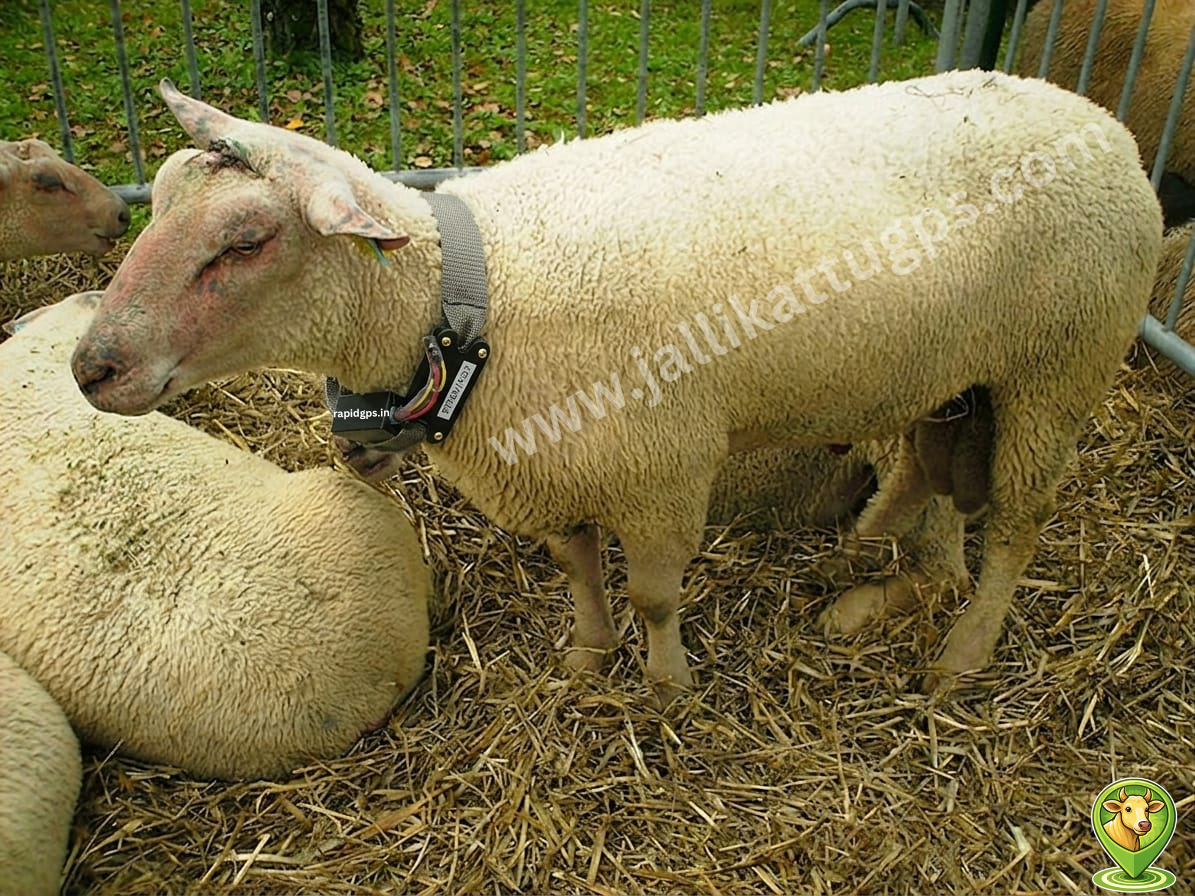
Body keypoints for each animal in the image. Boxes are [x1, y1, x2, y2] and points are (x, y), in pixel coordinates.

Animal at [71, 71, 1162, 702]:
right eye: (155, 200)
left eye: (246, 242)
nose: (92, 367)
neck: (472, 300)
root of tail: (1101, 122)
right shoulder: (553, 466)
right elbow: (580, 571)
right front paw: (589, 661)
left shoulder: (662, 467)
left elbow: (652, 593)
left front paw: (668, 687)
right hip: (956, 372)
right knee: (933, 497)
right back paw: (867, 588)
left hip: (1061, 364)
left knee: (1015, 525)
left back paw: (962, 654)